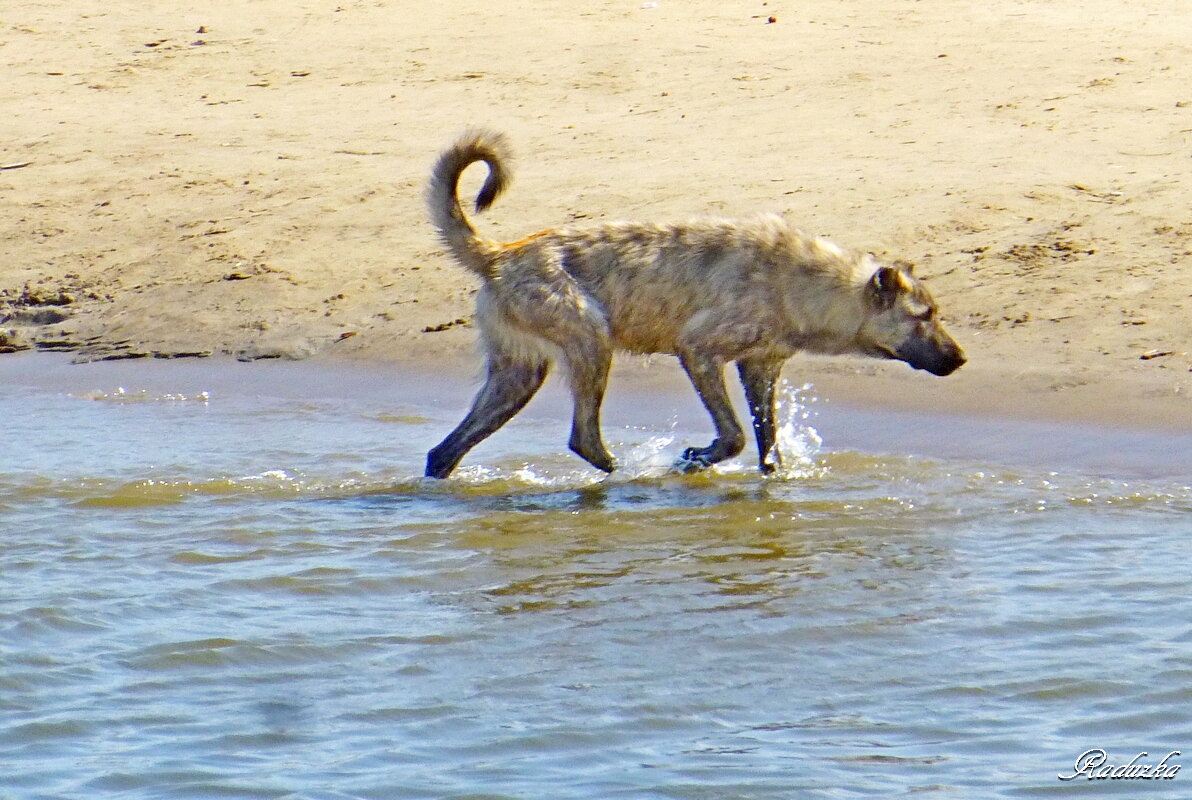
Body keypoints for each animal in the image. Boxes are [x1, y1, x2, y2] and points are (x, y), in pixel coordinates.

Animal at [424, 131, 963, 479]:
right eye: (925, 316)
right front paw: (696, 459)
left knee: (442, 454)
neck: (807, 281)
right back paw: (624, 474)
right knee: (584, 438)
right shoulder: (699, 352)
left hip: (518, 375)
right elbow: (735, 435)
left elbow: (768, 445)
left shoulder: (760, 367)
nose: (961, 359)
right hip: (591, 344)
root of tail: (500, 254)